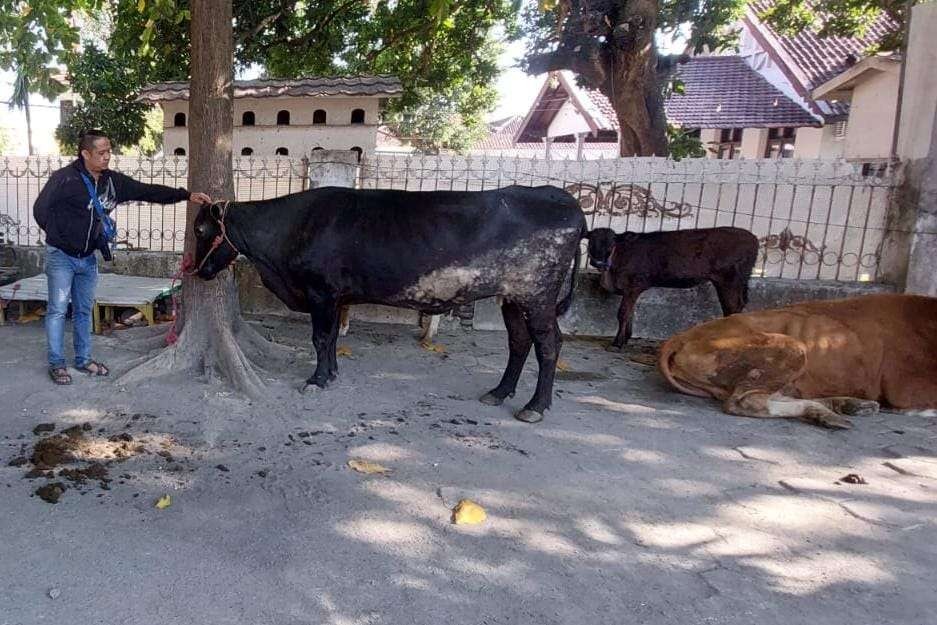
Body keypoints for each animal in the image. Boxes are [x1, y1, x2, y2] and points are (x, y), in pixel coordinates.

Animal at [192, 183, 584, 422]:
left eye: (199, 230)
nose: (198, 271)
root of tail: (562, 199)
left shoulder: (321, 292)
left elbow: (320, 338)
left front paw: (317, 380)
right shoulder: (337, 297)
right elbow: (331, 339)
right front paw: (332, 372)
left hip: (537, 295)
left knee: (549, 345)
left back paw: (535, 406)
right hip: (513, 298)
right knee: (519, 342)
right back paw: (499, 392)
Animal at [584, 225, 760, 352]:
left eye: (611, 244)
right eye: (591, 243)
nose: (598, 263)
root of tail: (752, 237)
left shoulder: (633, 286)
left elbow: (623, 314)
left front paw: (617, 343)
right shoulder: (631, 291)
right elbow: (631, 314)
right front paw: (626, 338)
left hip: (729, 280)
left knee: (732, 307)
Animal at [660, 294, 936, 426]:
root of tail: (681, 336)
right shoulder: (907, 387)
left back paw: (846, 406)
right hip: (793, 347)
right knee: (746, 401)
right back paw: (831, 412)